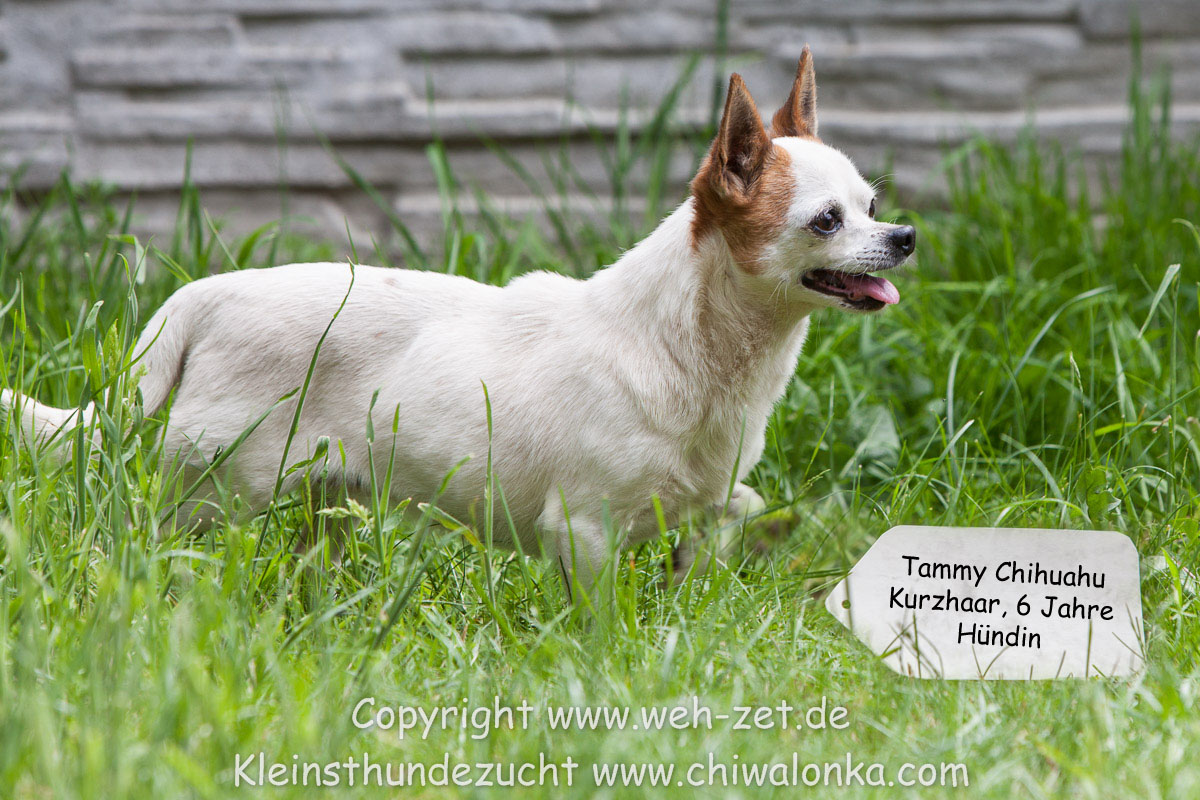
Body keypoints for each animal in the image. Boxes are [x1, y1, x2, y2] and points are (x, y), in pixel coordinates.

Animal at [3, 47, 914, 595]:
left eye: (873, 206)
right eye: (827, 221)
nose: (905, 236)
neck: (700, 352)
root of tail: (203, 296)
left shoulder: (705, 512)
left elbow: (727, 521)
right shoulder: (582, 531)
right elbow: (600, 622)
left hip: (322, 506)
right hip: (210, 494)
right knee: (146, 541)